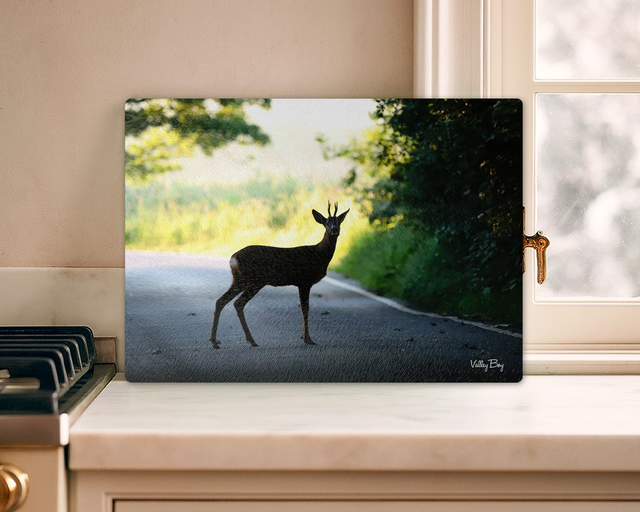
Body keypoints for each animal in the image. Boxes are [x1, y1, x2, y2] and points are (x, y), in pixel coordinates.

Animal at [209, 201, 349, 349]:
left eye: (338, 222)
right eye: (326, 223)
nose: (334, 230)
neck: (319, 255)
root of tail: (233, 259)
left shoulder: (302, 283)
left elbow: (304, 308)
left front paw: (303, 336)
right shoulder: (304, 281)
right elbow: (305, 309)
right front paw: (308, 339)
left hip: (241, 279)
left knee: (222, 301)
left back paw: (216, 341)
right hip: (255, 280)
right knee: (237, 302)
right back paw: (249, 340)